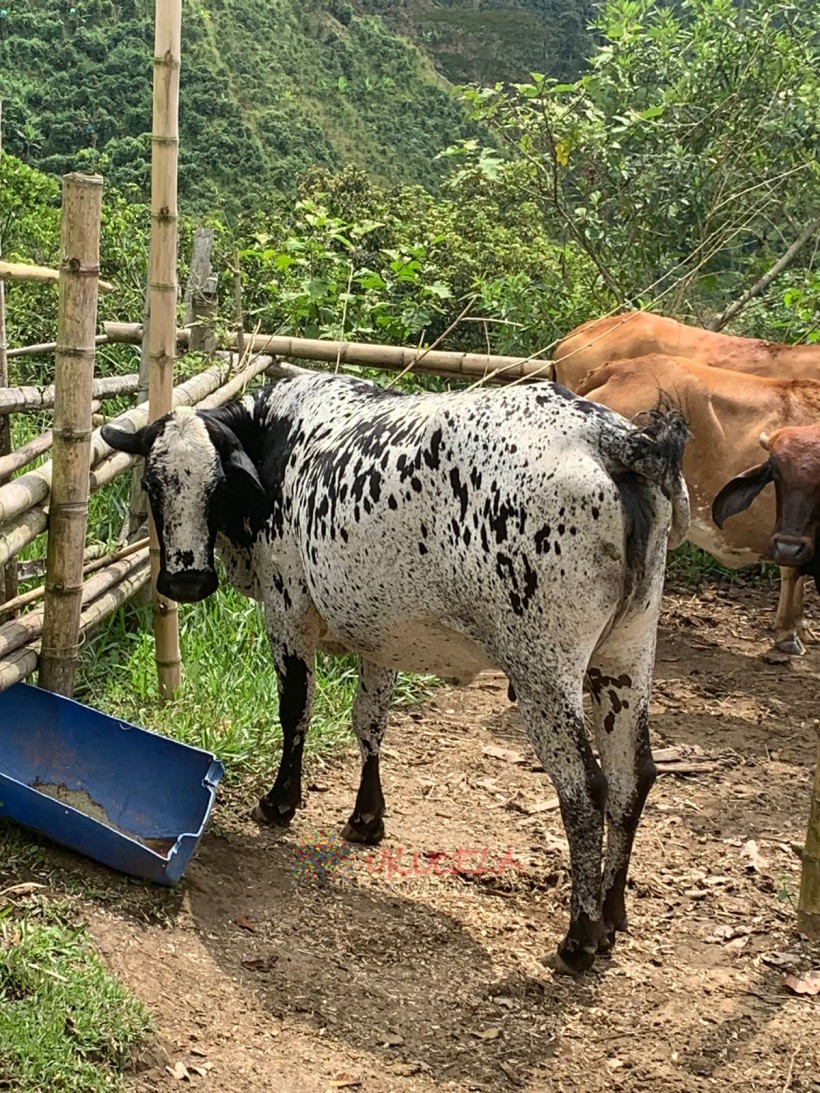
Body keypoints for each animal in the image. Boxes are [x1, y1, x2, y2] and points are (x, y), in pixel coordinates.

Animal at [102, 369, 695, 974]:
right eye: (153, 483)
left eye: (217, 486)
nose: (186, 580)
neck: (276, 437)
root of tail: (610, 437)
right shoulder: (378, 637)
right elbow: (369, 721)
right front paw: (367, 818)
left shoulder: (287, 609)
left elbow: (296, 709)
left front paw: (280, 802)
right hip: (627, 655)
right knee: (633, 776)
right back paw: (612, 917)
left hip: (543, 671)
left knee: (585, 788)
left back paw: (579, 937)